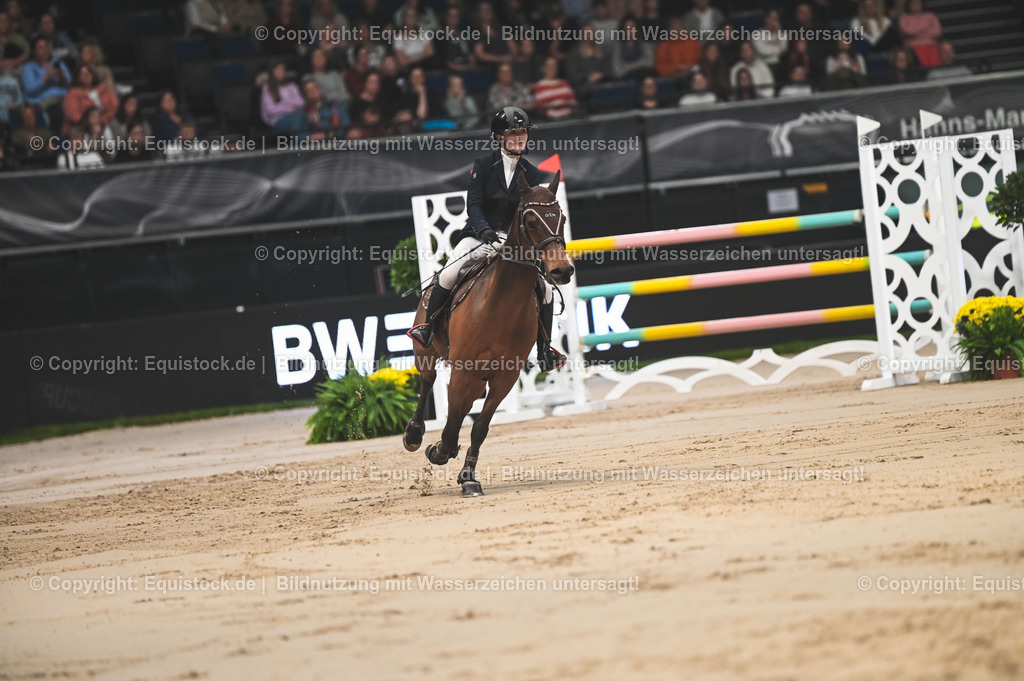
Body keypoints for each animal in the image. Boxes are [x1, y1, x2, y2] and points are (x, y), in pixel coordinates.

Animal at [402, 170, 574, 497]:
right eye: (531, 220)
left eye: (562, 218)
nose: (561, 271)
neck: (500, 304)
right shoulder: (462, 371)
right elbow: (451, 425)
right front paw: (439, 451)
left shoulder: (505, 377)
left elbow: (479, 427)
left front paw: (468, 476)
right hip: (428, 353)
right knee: (427, 382)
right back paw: (415, 434)